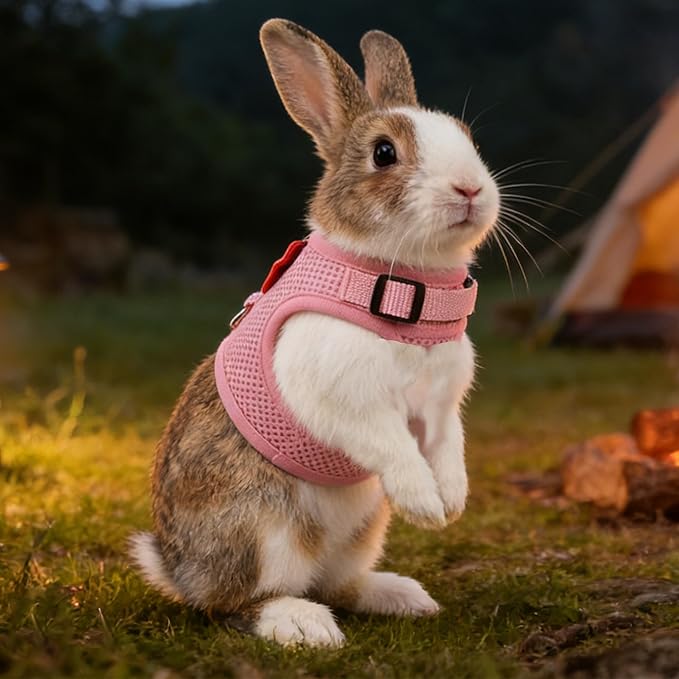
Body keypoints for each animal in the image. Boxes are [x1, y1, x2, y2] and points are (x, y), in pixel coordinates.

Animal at [130, 18, 500, 648]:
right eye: (384, 152)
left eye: (468, 136)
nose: (470, 189)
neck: (400, 284)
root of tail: (180, 569)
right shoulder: (344, 398)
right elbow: (390, 444)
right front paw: (426, 505)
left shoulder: (441, 408)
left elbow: (447, 445)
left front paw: (451, 501)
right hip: (263, 529)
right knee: (236, 603)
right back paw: (301, 624)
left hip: (362, 528)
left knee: (337, 585)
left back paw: (402, 596)